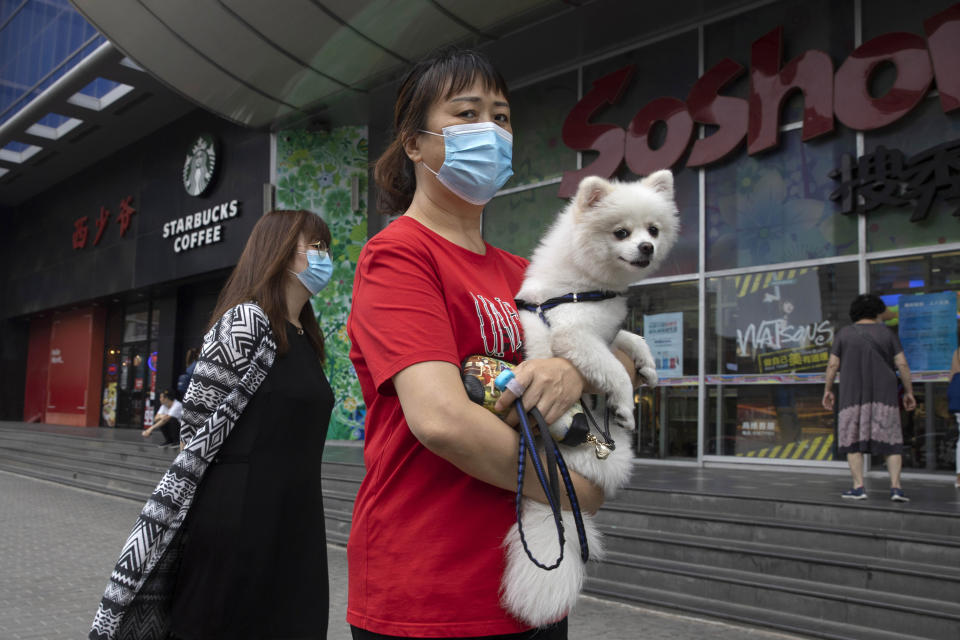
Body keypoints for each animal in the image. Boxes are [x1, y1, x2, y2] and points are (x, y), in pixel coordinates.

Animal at [498, 169, 680, 624]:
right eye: (621, 232)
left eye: (653, 230)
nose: (647, 247)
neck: (584, 286)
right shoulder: (574, 336)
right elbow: (613, 369)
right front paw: (626, 404)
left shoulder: (605, 332)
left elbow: (630, 339)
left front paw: (649, 365)